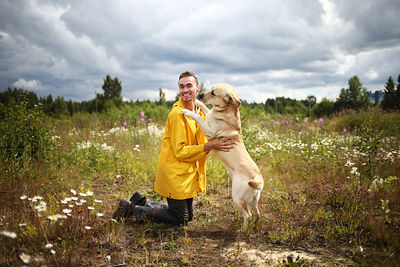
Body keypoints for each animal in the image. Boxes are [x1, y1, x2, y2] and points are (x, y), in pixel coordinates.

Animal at [180, 84, 262, 230]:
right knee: (257, 213)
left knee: (248, 215)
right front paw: (196, 102)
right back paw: (254, 227)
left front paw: (187, 111)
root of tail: (257, 176)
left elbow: (198, 117)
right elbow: (204, 108)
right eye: (210, 89)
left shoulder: (209, 130)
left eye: (213, 93)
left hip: (237, 197)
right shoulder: (209, 115)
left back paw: (242, 230)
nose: (200, 94)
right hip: (253, 200)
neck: (224, 111)